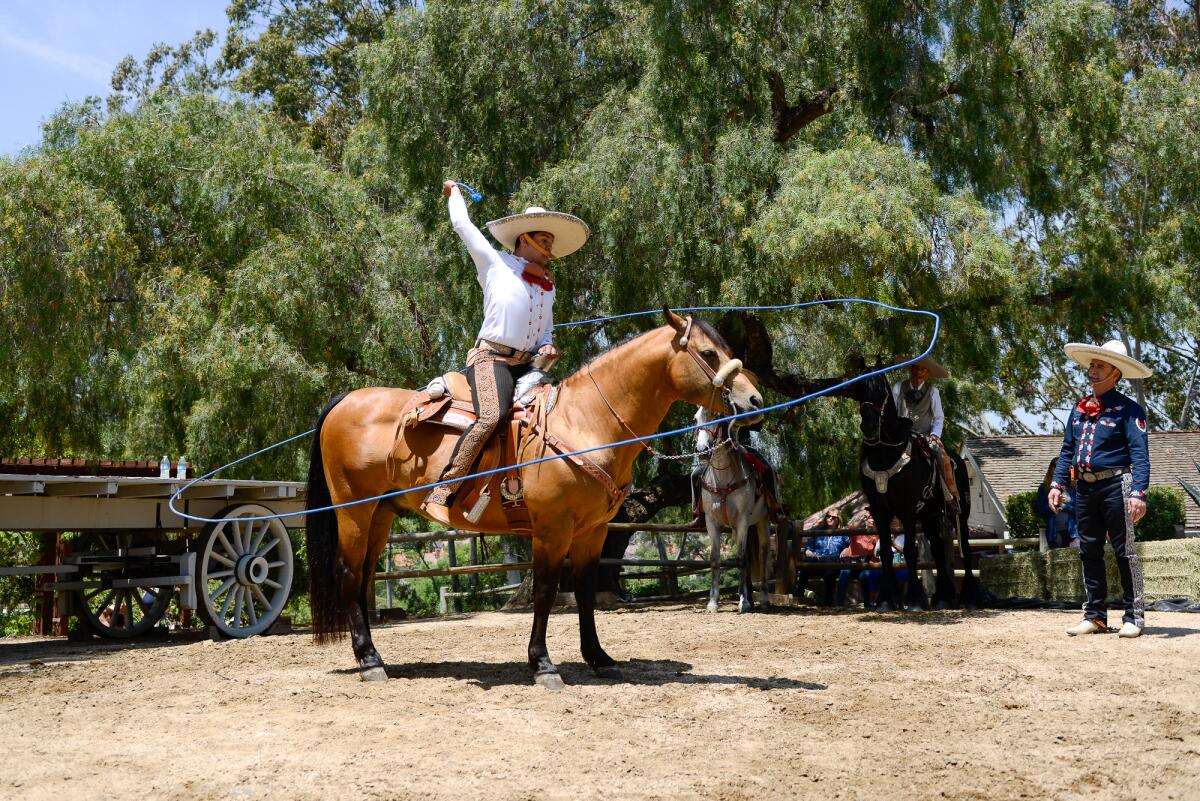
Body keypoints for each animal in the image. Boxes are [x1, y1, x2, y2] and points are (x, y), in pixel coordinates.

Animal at [304, 309, 763, 685]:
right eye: (709, 352)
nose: (754, 400)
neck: (584, 422)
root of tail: (345, 400)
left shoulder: (594, 531)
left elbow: (584, 592)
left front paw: (598, 657)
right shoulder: (551, 529)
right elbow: (544, 591)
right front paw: (543, 664)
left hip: (381, 514)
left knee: (364, 576)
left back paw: (375, 656)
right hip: (354, 511)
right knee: (347, 573)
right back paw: (369, 661)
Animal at [700, 407, 772, 613]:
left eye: (716, 418)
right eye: (695, 418)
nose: (702, 450)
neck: (723, 478)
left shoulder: (742, 520)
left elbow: (740, 559)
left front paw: (743, 602)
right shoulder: (711, 522)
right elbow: (715, 560)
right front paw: (712, 603)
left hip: (762, 522)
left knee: (763, 554)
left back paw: (763, 599)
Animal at [844, 366, 984, 609]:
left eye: (881, 389)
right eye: (860, 389)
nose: (869, 426)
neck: (886, 454)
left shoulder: (908, 510)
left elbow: (909, 551)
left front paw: (915, 599)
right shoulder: (880, 512)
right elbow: (886, 555)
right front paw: (885, 600)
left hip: (959, 513)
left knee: (965, 548)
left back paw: (969, 597)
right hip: (928, 516)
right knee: (938, 549)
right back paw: (942, 597)